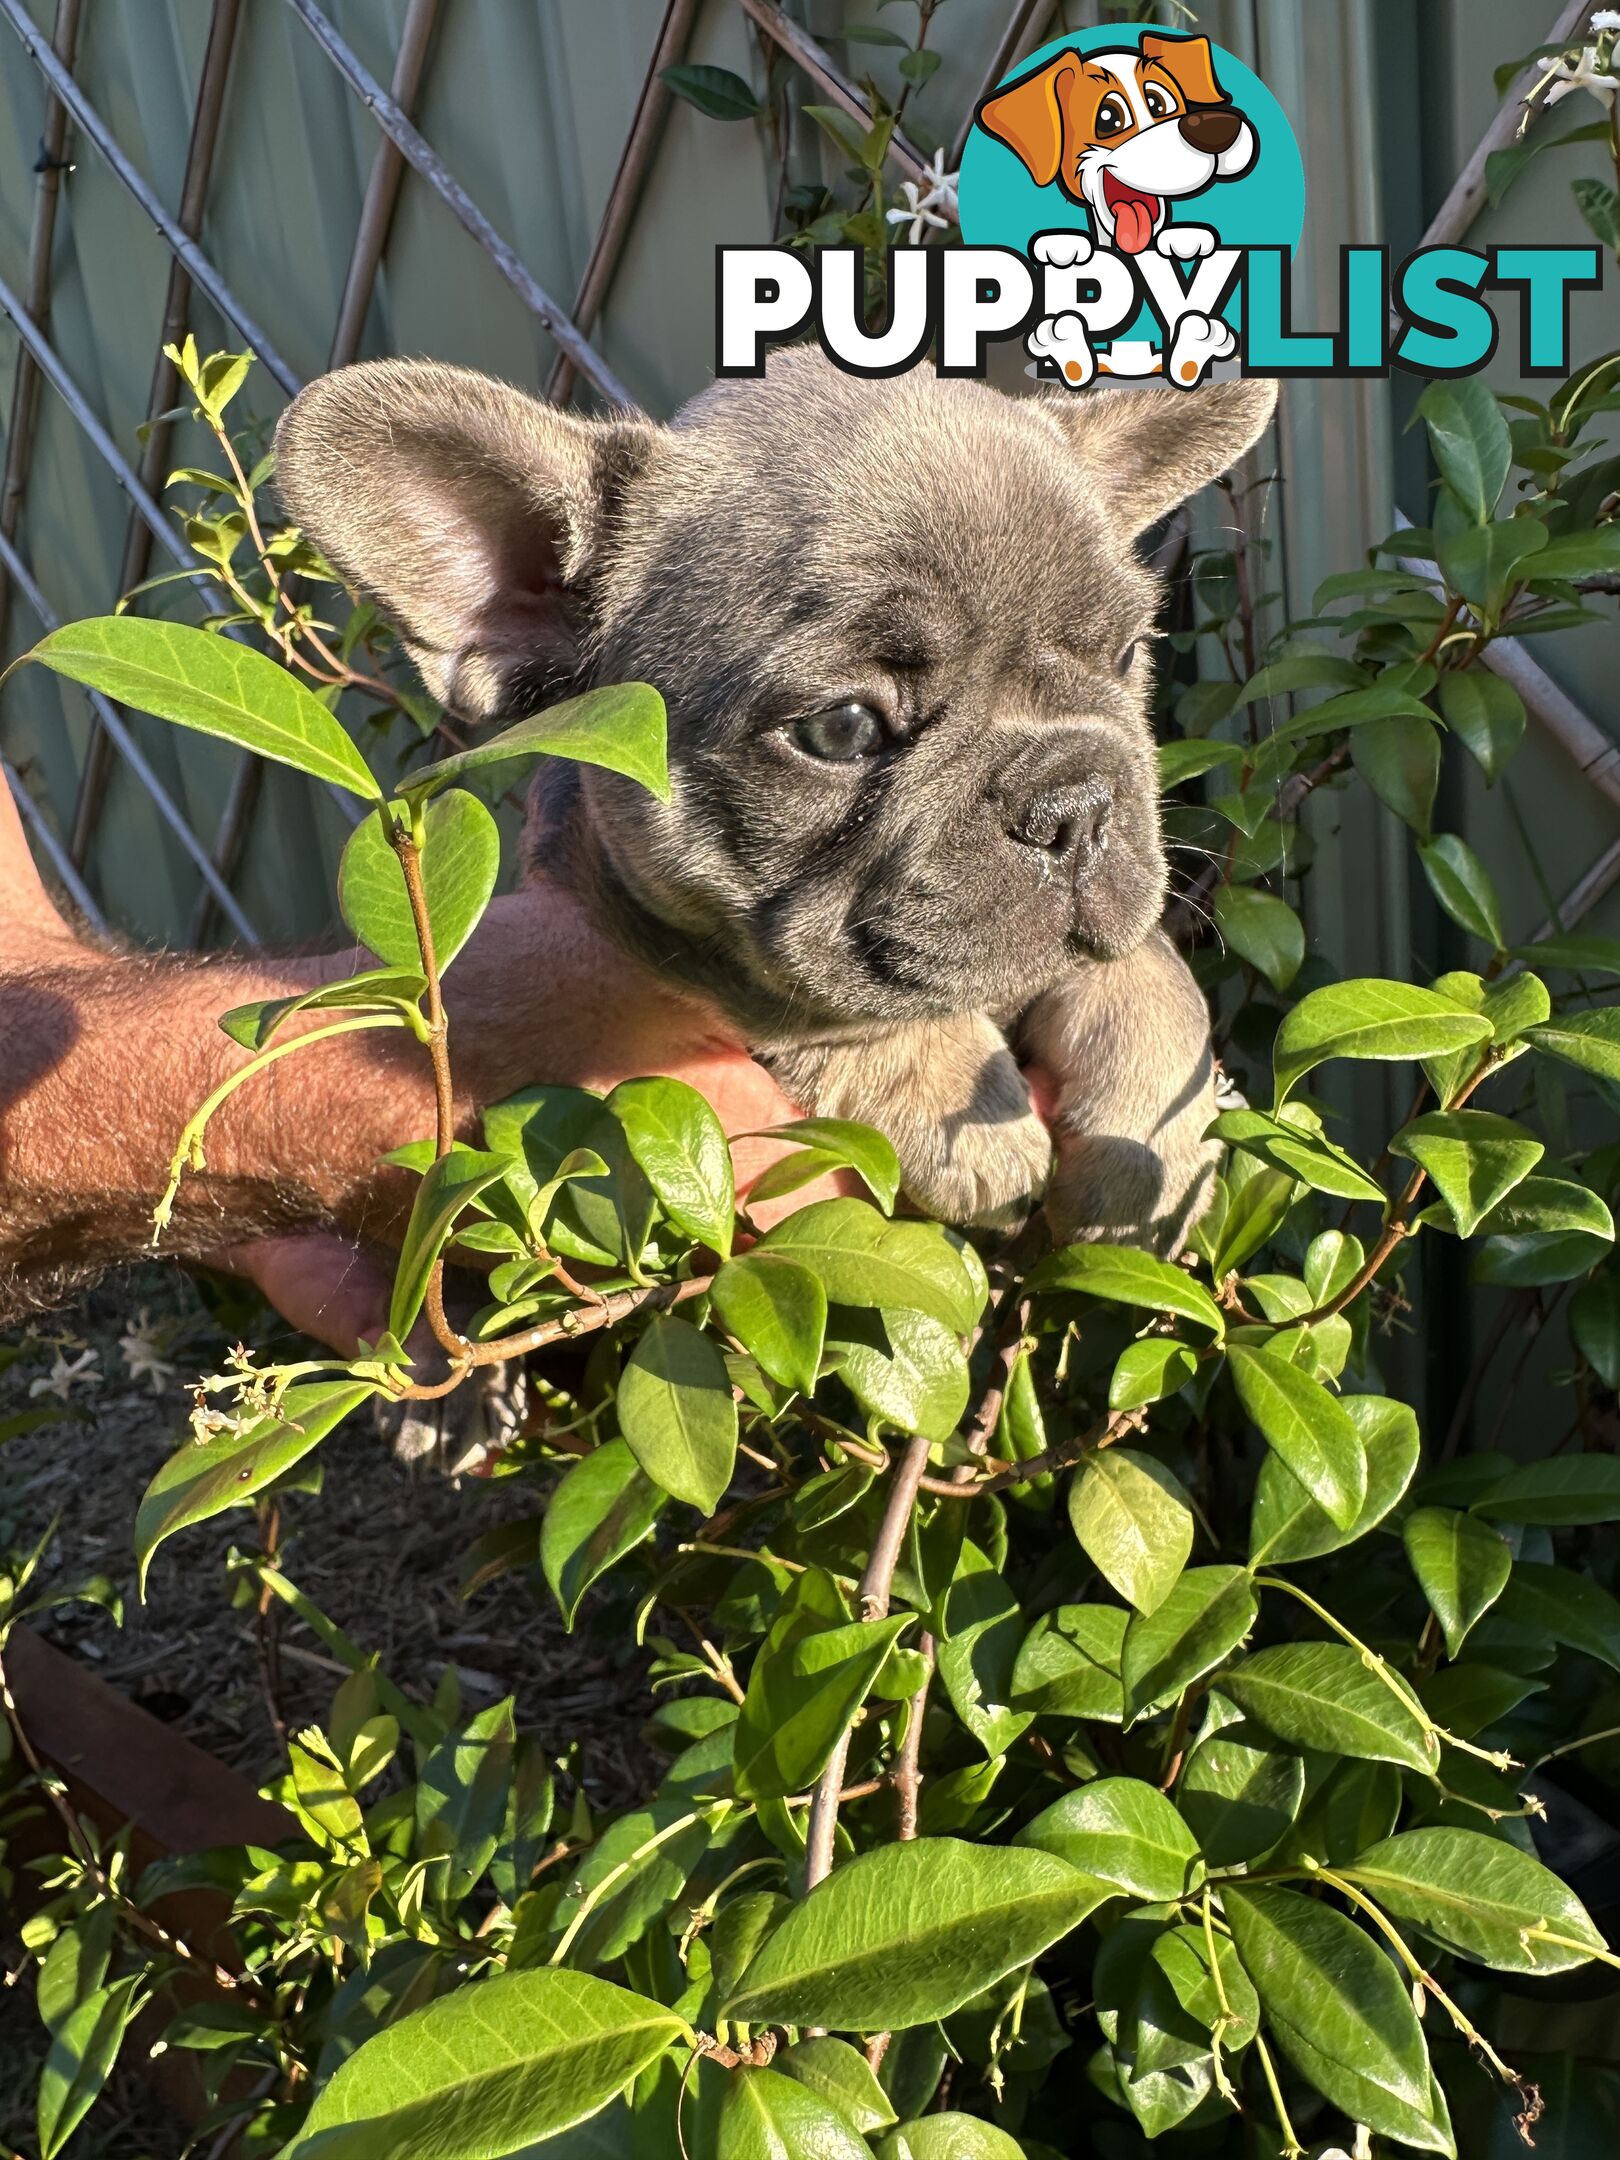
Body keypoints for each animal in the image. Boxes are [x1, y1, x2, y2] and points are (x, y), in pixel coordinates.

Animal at [285, 349, 1287, 1252]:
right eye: (840, 729)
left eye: (1128, 654)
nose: (1072, 805)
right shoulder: (666, 926)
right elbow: (823, 1001)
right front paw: (949, 1092)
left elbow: (1157, 973)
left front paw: (1155, 1140)